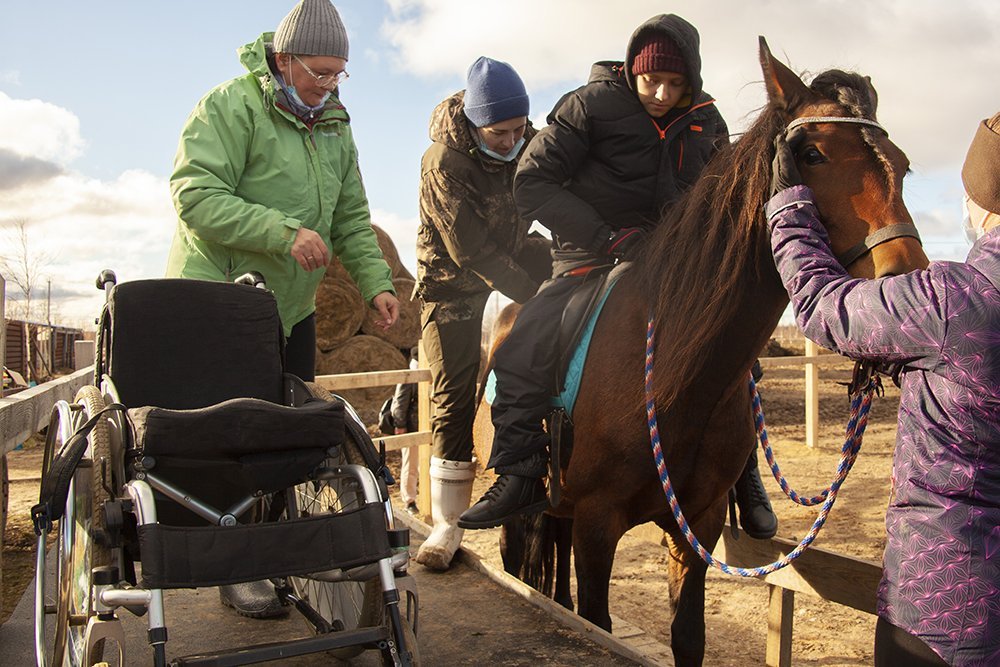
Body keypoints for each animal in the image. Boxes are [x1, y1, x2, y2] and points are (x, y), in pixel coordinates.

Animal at [492, 37, 928, 667]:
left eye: (902, 162)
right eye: (812, 154)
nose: (905, 281)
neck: (676, 374)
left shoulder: (695, 523)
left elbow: (688, 638)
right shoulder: (598, 525)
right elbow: (595, 620)